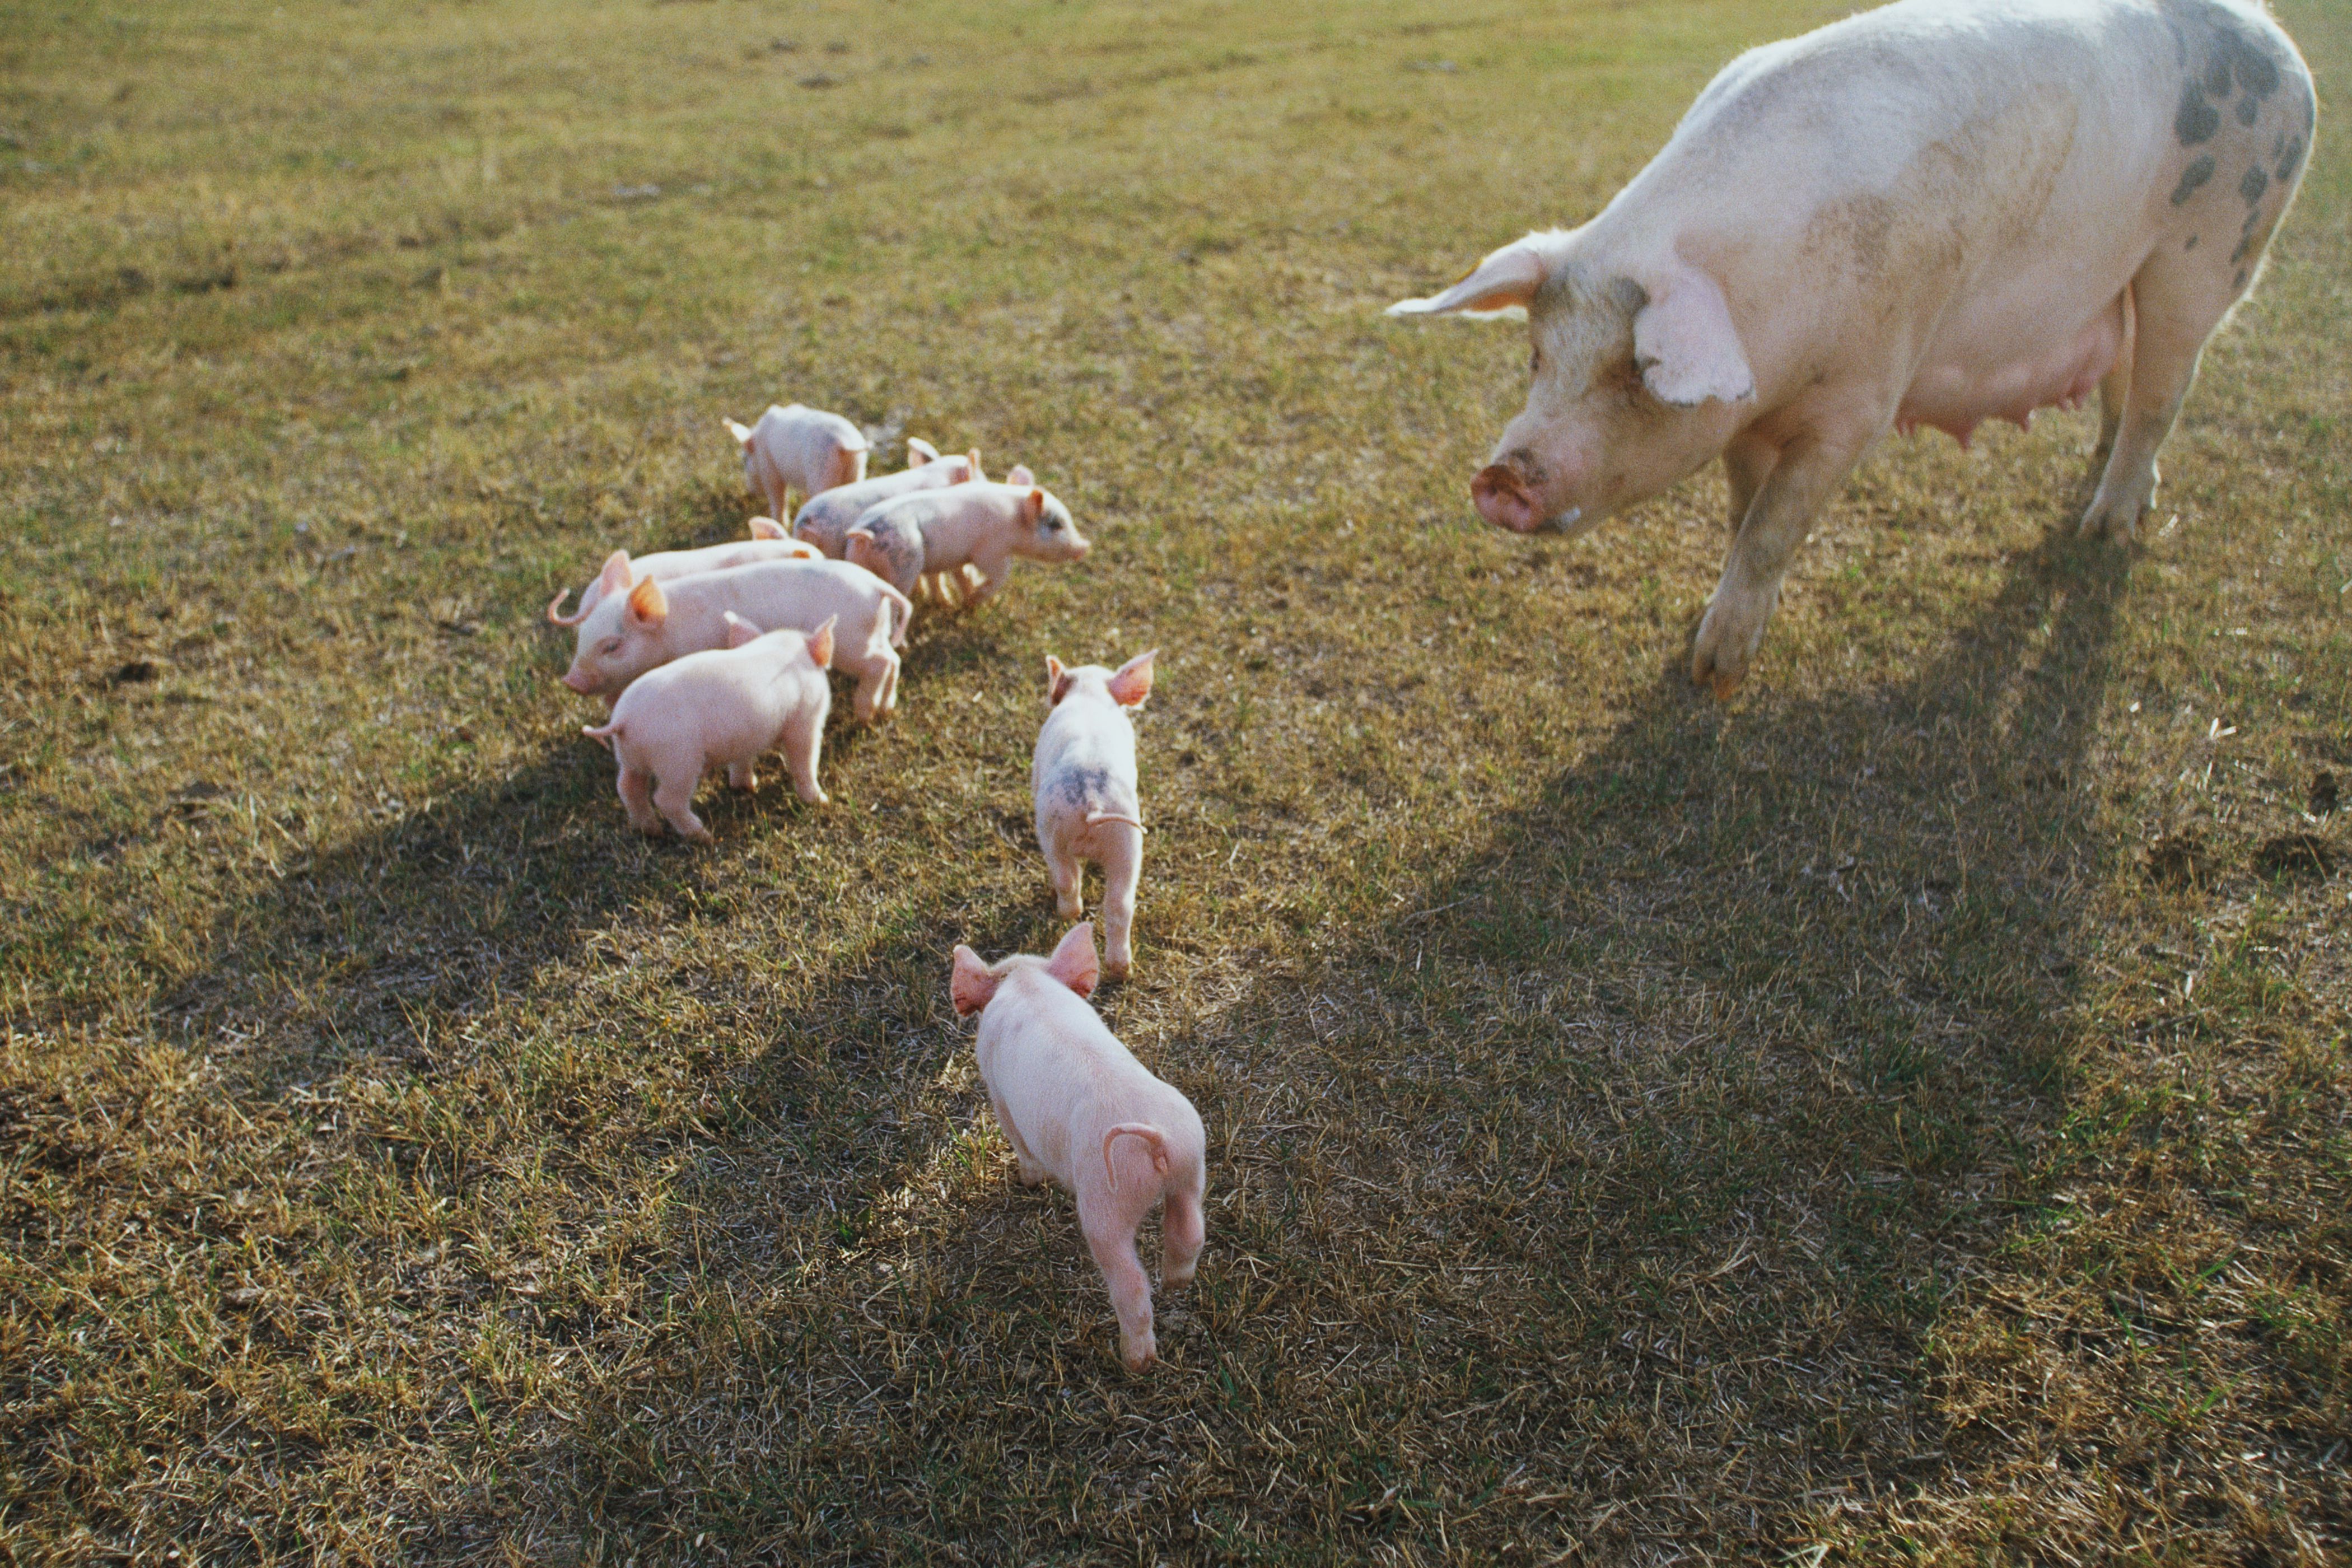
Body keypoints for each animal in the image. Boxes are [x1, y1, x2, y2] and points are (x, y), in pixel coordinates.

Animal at [559, 557, 908, 724]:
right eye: (581, 637)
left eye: (612, 646)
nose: (570, 682)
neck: (671, 629)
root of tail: (876, 585)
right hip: (874, 634)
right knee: (894, 659)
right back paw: (886, 709)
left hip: (852, 643)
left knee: (880, 663)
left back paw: (864, 714)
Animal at [1392, 0, 2314, 691]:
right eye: (1538, 356)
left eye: (1635, 374)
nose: (1501, 477)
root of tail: (2273, 37)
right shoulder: (1744, 414)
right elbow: (1741, 510)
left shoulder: (1863, 399)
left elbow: (1775, 527)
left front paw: (1713, 671)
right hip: (2126, 278)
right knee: (2126, 376)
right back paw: (2098, 477)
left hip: (2212, 251)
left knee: (2166, 389)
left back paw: (2104, 529)